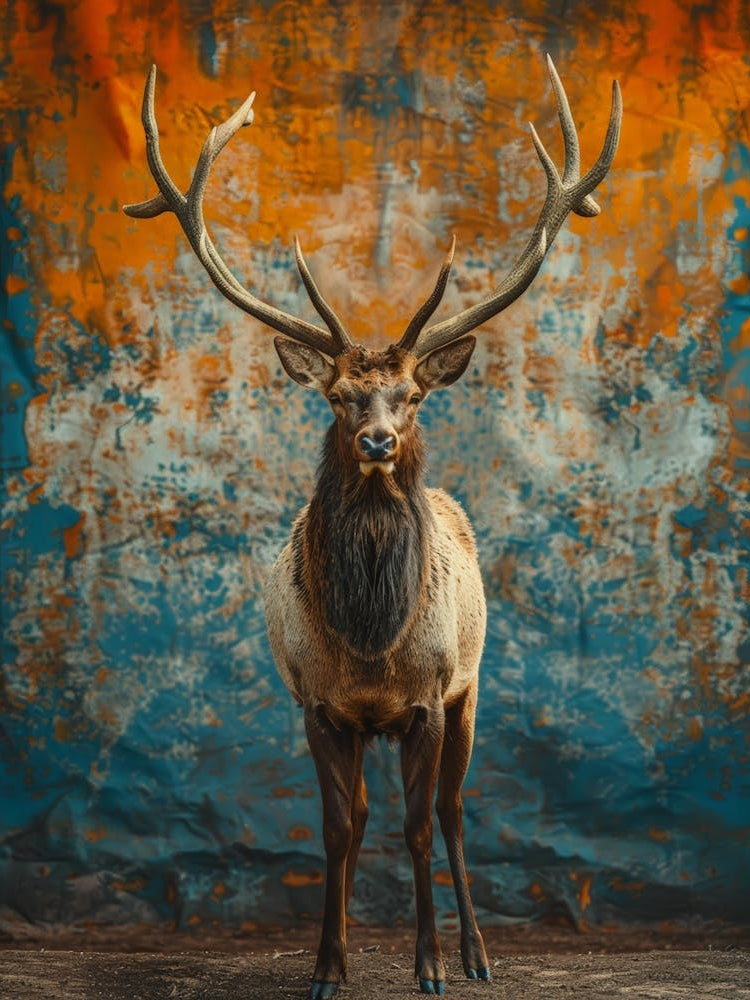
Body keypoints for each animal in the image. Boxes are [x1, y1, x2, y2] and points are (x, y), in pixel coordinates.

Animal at [124, 56, 621, 998]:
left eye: (413, 394)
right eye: (338, 396)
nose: (379, 440)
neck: (369, 640)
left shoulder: (429, 697)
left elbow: (421, 829)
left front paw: (429, 966)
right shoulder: (317, 703)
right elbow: (336, 830)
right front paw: (328, 966)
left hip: (473, 686)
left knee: (456, 815)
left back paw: (477, 953)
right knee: (360, 817)